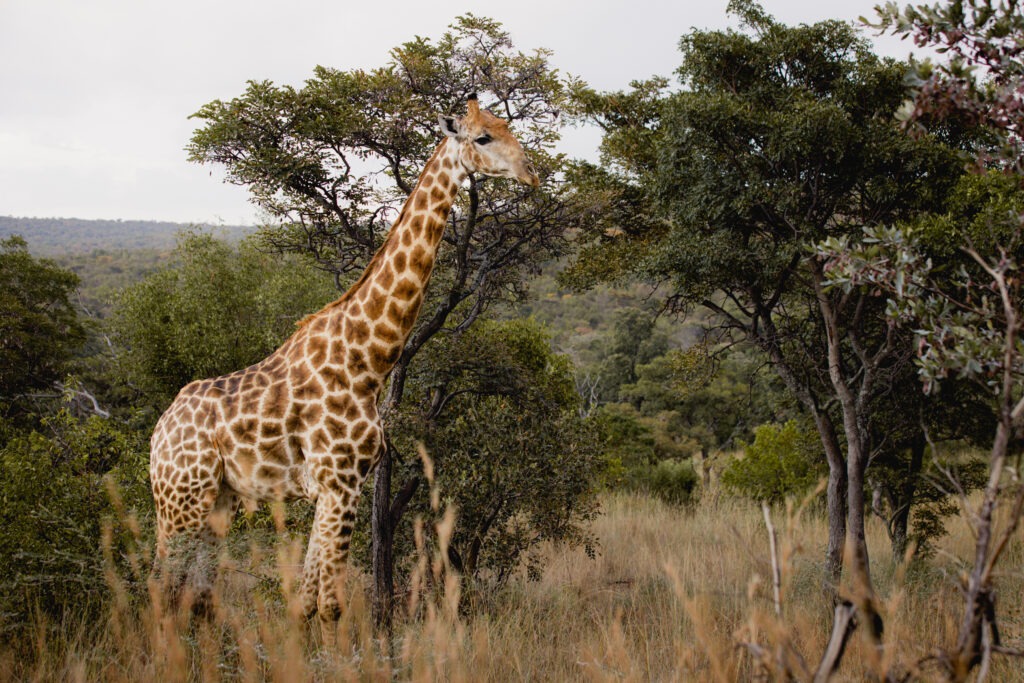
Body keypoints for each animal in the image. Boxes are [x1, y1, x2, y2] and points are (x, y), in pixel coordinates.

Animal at [149, 93, 540, 619]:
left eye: (508, 127)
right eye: (482, 137)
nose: (531, 174)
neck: (368, 360)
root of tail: (157, 435)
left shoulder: (336, 487)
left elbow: (306, 600)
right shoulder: (339, 483)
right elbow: (331, 605)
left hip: (217, 500)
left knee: (197, 596)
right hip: (180, 500)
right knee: (159, 588)